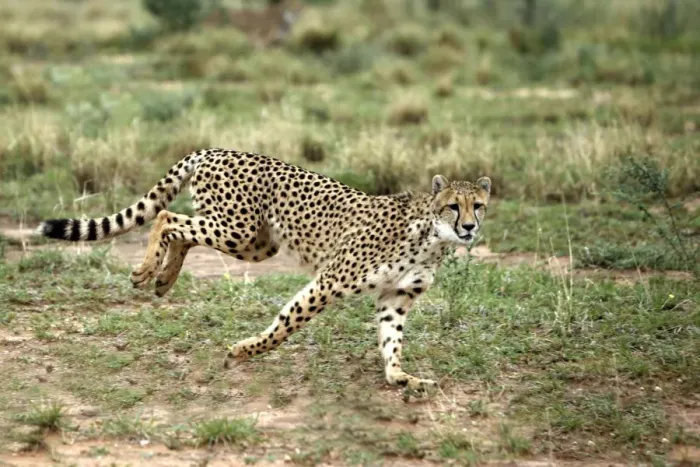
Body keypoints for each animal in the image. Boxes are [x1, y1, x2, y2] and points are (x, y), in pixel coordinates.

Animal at [37, 149, 492, 390]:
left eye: (479, 205)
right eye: (453, 206)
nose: (470, 227)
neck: (433, 238)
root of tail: (215, 149)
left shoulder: (395, 297)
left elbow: (391, 340)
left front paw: (399, 376)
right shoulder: (331, 280)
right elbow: (288, 322)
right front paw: (244, 351)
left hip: (255, 242)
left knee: (181, 230)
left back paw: (163, 280)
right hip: (238, 230)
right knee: (167, 217)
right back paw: (147, 271)